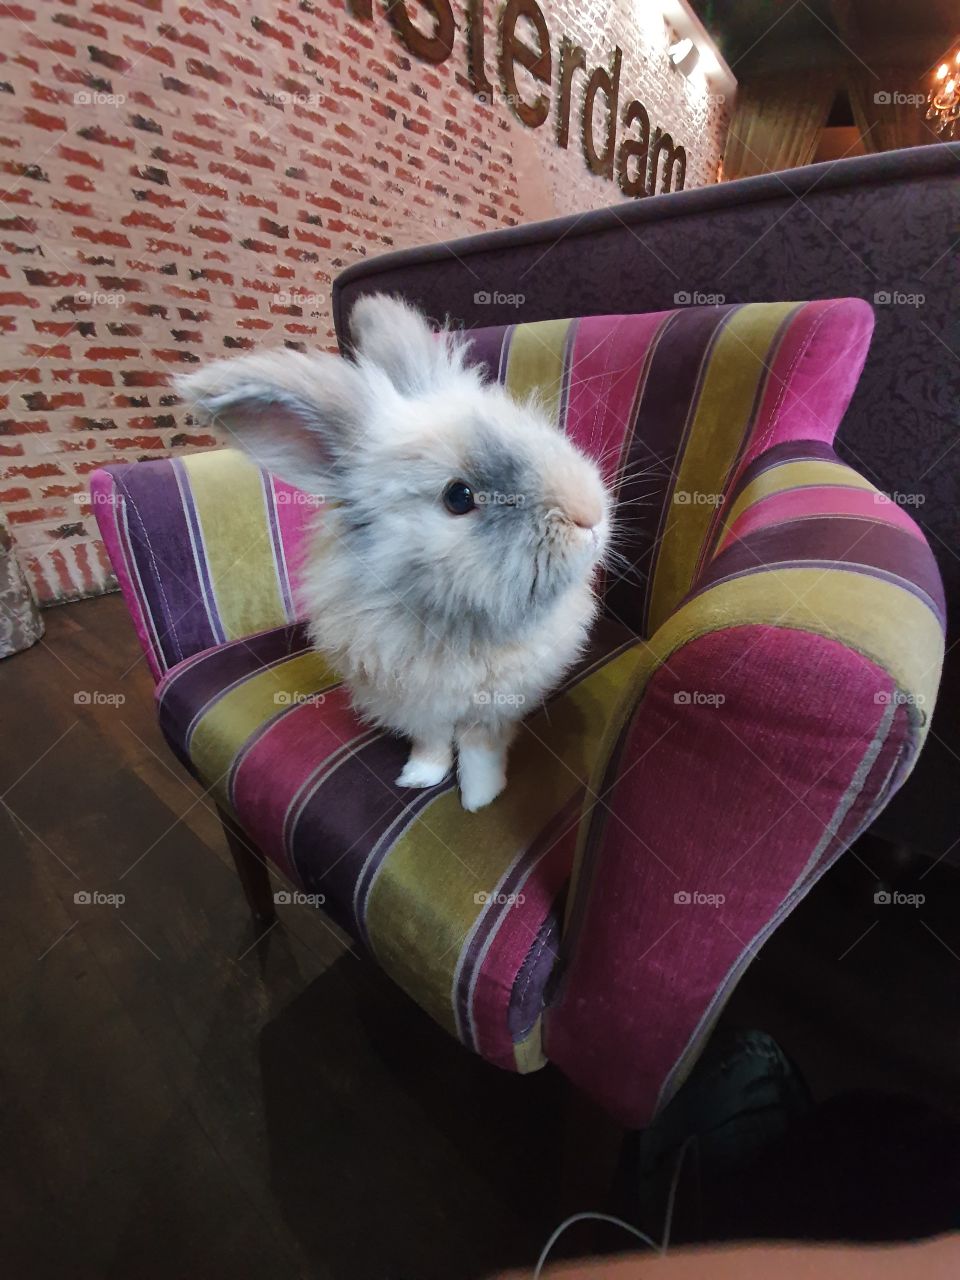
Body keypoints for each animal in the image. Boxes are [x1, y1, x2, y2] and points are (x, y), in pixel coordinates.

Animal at [175, 294, 610, 811]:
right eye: (459, 497)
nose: (590, 516)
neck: (452, 620)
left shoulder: (495, 704)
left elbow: (479, 748)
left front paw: (480, 798)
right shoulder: (412, 700)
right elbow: (433, 741)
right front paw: (420, 778)